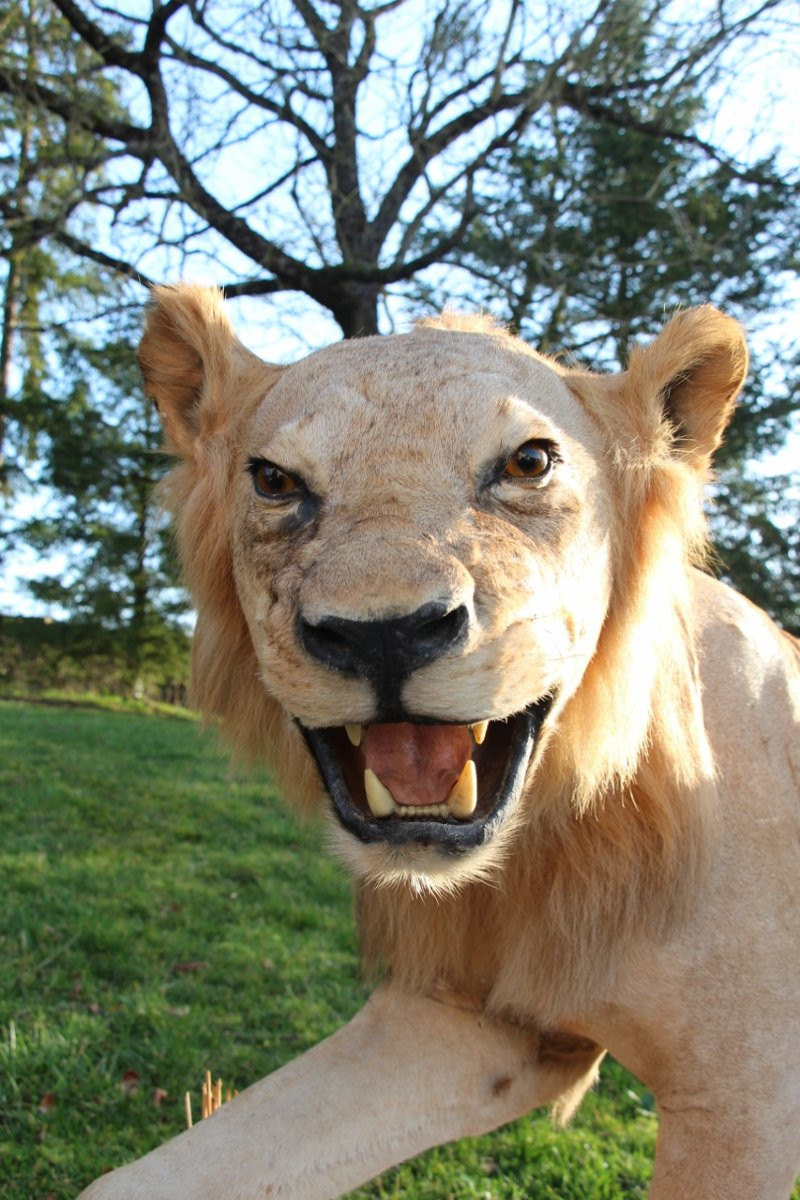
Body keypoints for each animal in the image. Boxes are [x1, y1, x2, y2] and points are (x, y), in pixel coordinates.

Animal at [79, 285, 800, 1200]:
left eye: (529, 463)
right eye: (275, 481)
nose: (383, 635)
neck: (551, 843)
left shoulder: (741, 1096)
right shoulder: (467, 1024)